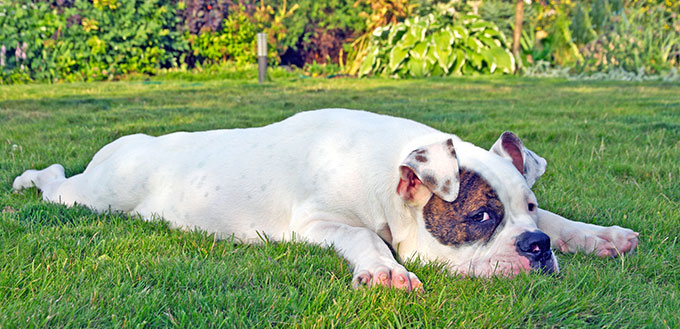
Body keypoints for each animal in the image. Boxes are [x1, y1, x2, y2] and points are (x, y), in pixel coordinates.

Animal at [14, 108, 636, 290]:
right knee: (56, 181)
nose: (536, 247)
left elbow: (564, 218)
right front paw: (387, 272)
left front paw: (598, 237)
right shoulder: (318, 222)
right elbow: (364, 238)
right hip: (92, 198)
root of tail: (128, 144)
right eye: (481, 216)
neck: (387, 174)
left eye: (527, 209)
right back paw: (25, 180)